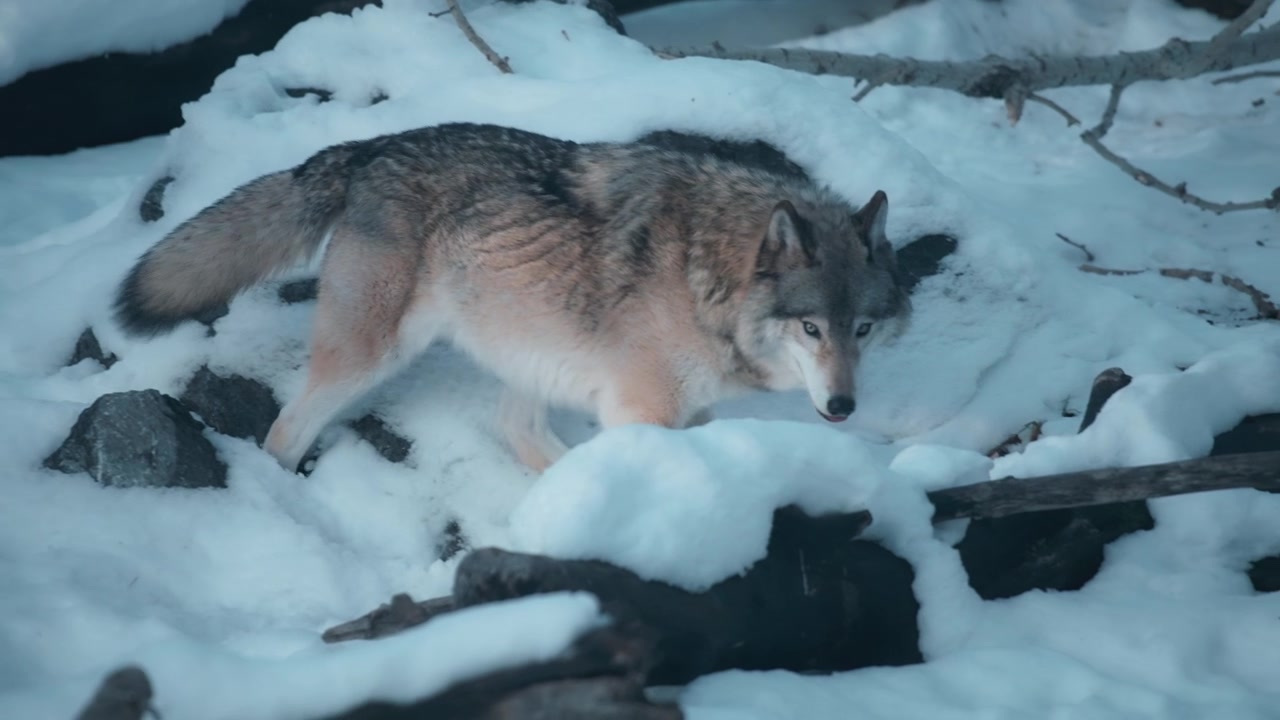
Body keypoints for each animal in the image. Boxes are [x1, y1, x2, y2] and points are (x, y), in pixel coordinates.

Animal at [114, 122, 911, 473]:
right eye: (811, 328)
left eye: (863, 329)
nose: (845, 405)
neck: (705, 272)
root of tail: (371, 147)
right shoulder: (643, 412)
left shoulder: (687, 410)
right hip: (371, 355)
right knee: (283, 433)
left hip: (530, 355)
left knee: (516, 430)